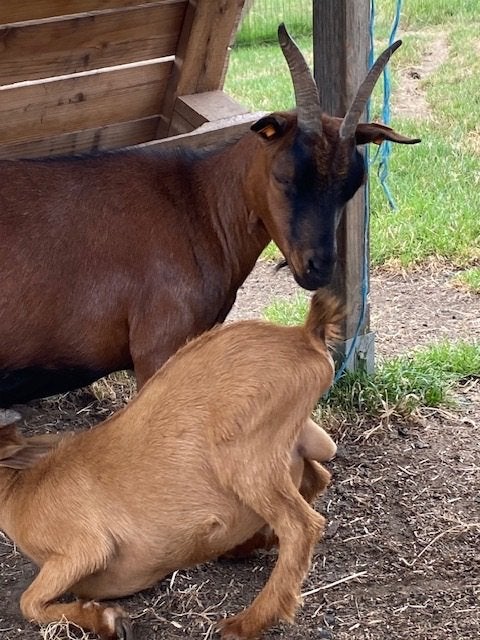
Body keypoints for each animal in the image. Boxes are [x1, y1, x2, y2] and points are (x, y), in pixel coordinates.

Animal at [0, 289, 341, 640]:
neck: (18, 491)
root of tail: (303, 337)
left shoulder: (85, 547)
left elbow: (29, 602)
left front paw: (109, 620)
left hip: (246, 457)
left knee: (301, 525)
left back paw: (245, 623)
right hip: (304, 439)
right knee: (317, 477)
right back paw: (244, 546)